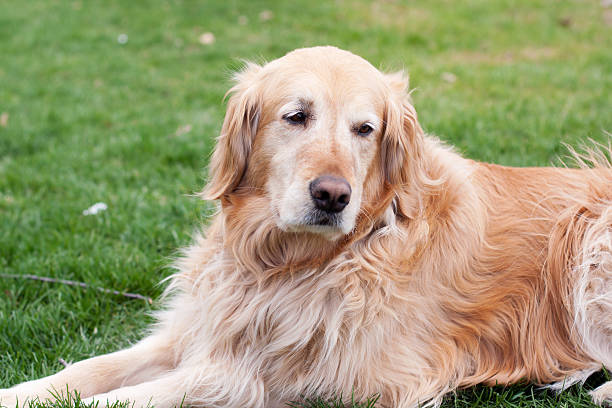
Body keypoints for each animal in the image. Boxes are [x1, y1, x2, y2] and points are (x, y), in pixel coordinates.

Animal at [1, 46, 612, 406]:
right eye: (296, 116)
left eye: (365, 129)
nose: (332, 195)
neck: (284, 264)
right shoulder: (199, 328)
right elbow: (87, 371)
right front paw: (21, 389)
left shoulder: (312, 378)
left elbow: (141, 394)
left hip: (589, 237)